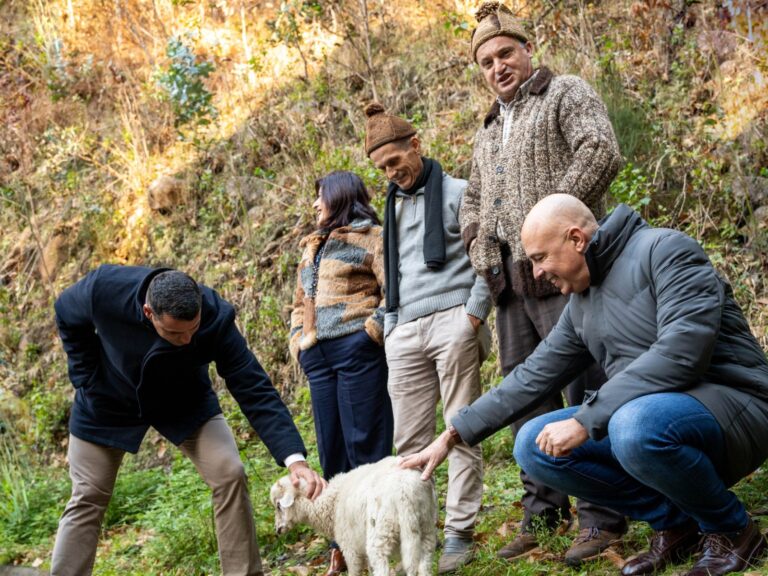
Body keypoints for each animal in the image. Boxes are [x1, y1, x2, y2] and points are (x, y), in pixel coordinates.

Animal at [270, 454, 438, 576]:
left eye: (278, 505)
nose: (277, 530)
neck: (331, 502)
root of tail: (405, 492)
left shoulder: (350, 547)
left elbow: (355, 571)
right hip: (426, 525)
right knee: (424, 566)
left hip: (381, 533)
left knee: (382, 568)